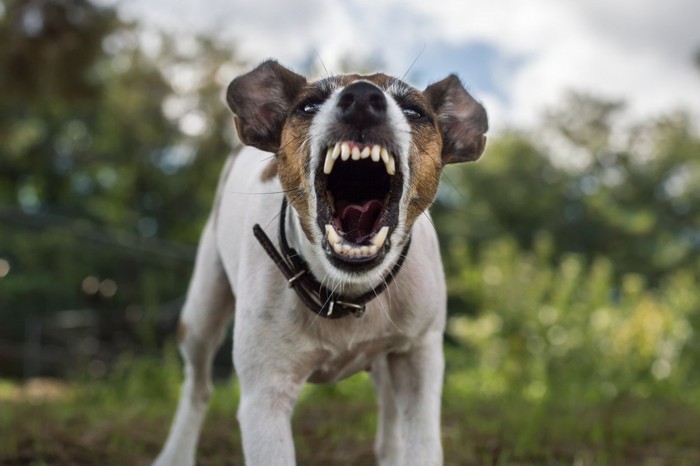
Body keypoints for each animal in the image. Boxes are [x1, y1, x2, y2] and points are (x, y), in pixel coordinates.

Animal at [153, 60, 486, 464]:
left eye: (414, 111)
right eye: (308, 106)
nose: (362, 99)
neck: (347, 292)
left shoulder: (417, 359)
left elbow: (421, 443)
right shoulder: (265, 398)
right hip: (202, 312)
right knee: (197, 387)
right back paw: (175, 453)